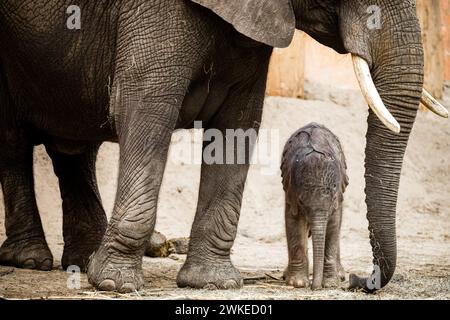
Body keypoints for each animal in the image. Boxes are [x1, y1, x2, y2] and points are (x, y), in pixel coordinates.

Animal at [282, 123, 348, 290]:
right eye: (301, 202)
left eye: (332, 199)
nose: (314, 288)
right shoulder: (291, 190)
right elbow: (293, 222)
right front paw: (298, 283)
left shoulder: (337, 195)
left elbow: (333, 225)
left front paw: (331, 284)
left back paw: (340, 275)